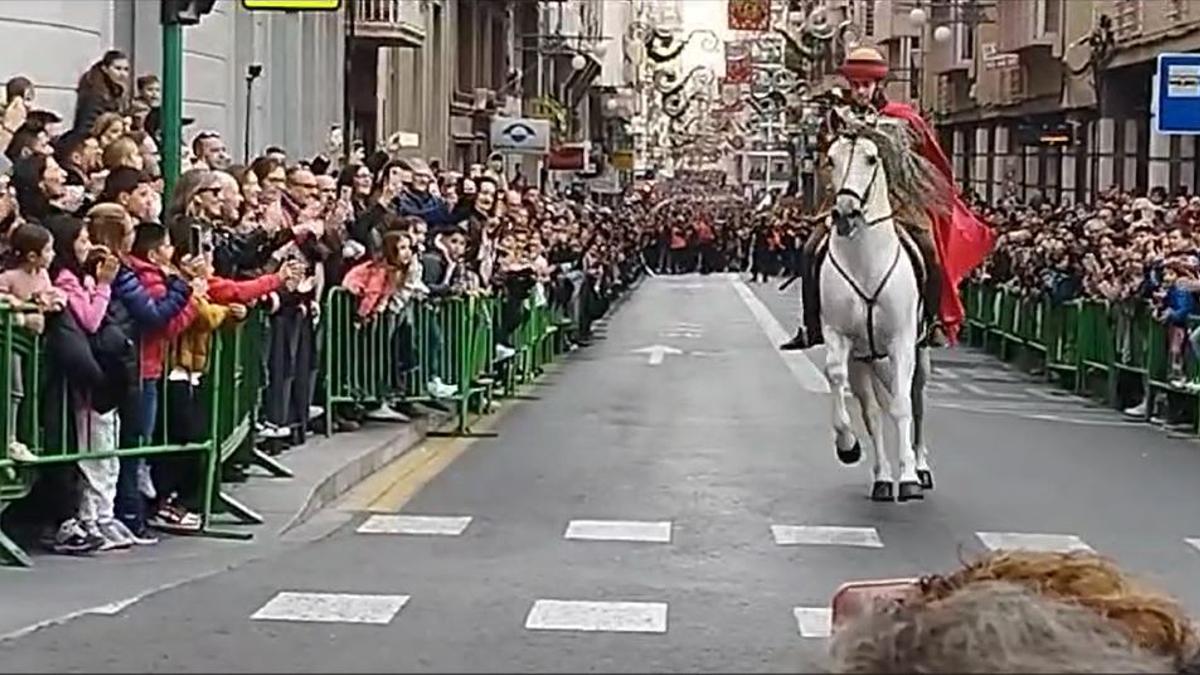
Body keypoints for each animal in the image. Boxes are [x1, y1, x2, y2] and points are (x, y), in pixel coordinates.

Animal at [816, 115, 945, 499]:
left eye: (871, 158)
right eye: (831, 159)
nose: (845, 213)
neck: (865, 263)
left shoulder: (902, 341)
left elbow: (903, 407)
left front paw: (910, 478)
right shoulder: (841, 337)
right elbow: (840, 382)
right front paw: (848, 445)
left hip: (918, 352)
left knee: (915, 401)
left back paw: (920, 466)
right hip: (869, 359)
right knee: (876, 411)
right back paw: (884, 477)